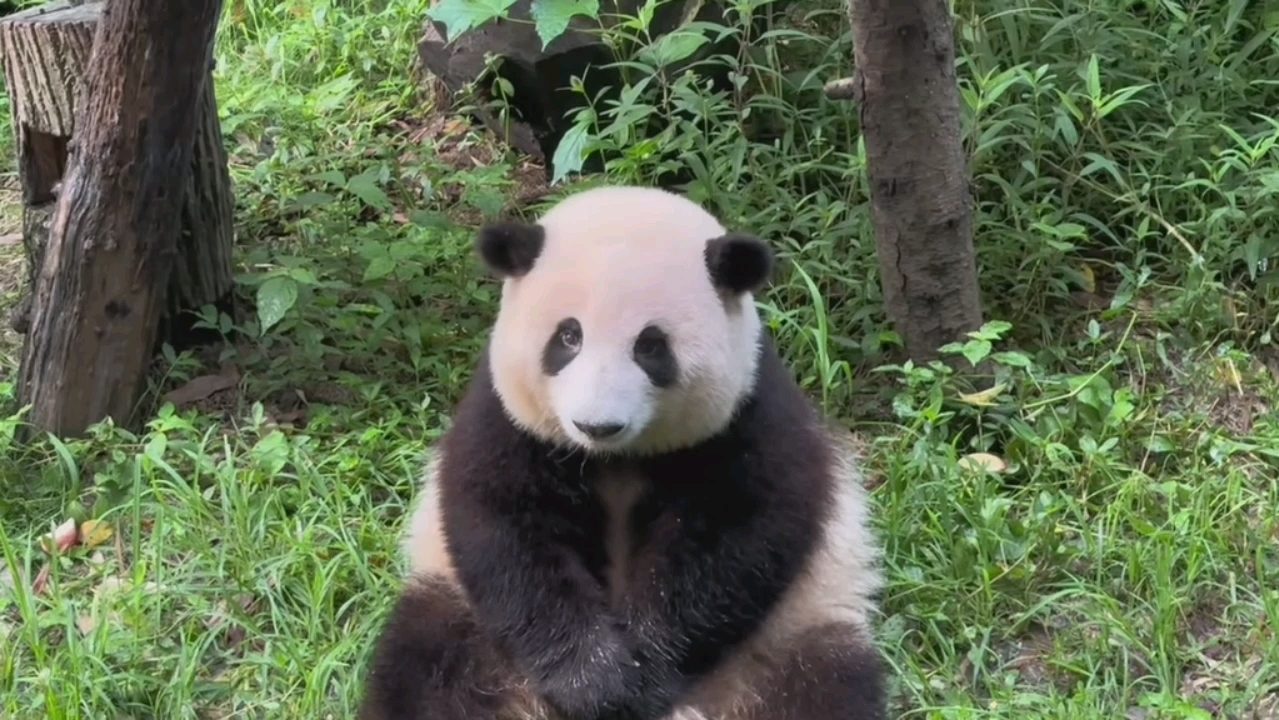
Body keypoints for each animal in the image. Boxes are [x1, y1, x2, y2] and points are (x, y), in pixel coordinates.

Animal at [355, 185, 885, 720]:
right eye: (569, 336)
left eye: (651, 346)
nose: (597, 425)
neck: (616, 459)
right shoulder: (509, 418)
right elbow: (506, 530)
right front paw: (592, 683)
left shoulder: (747, 413)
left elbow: (736, 537)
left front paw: (636, 677)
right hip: (460, 613)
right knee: (429, 664)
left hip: (790, 629)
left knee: (820, 681)